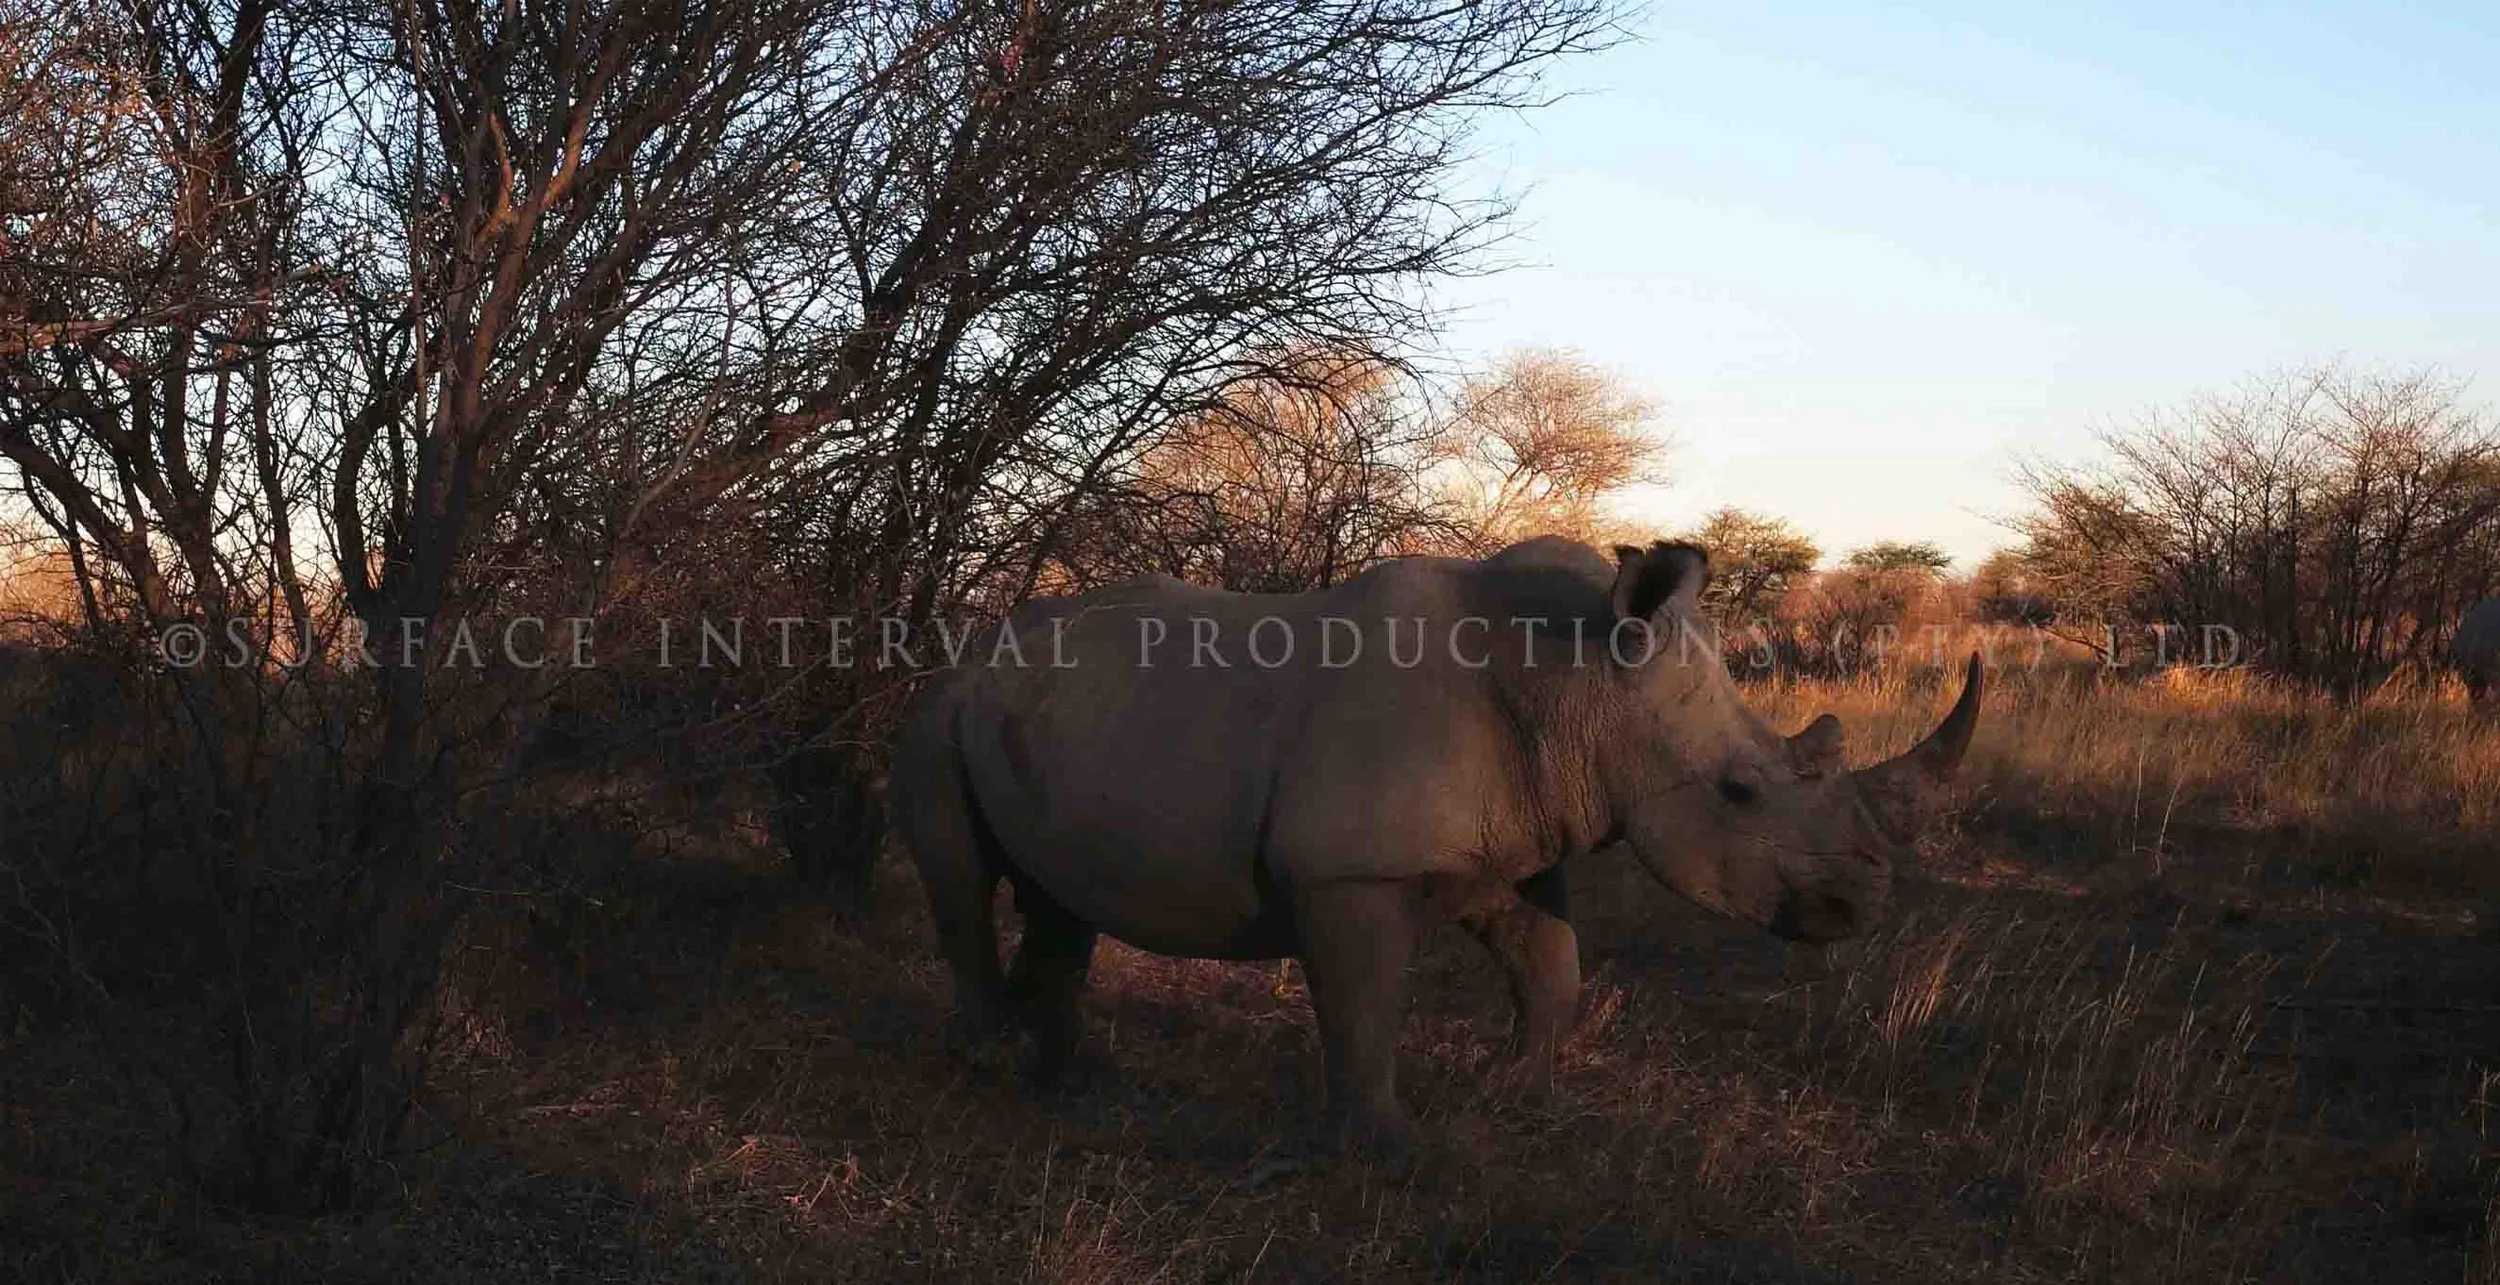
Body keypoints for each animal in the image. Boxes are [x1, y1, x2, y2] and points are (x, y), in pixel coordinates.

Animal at [890, 537, 1982, 1152]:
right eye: (1740, 792)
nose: (1860, 907)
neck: (1585, 682)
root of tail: (985, 640)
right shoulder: (1350, 869)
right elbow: (1367, 1005)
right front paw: (1388, 1146)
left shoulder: (1513, 839)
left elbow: (1551, 964)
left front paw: (1519, 1094)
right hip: (942, 704)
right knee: (956, 876)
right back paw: (986, 1061)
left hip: (1047, 714)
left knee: (1056, 895)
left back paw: (1062, 1076)